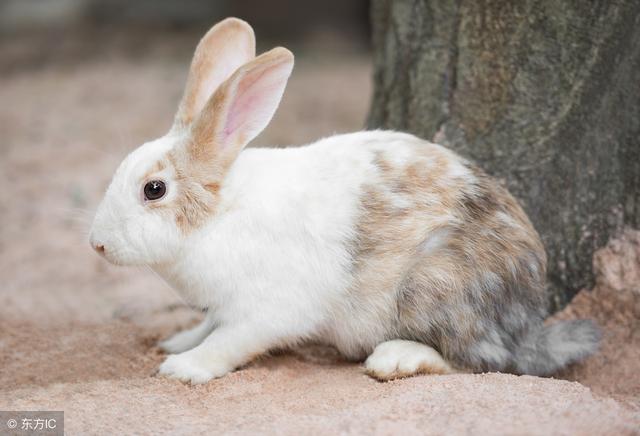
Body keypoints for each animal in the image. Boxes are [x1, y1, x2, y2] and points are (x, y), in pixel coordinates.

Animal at [90, 17, 600, 384]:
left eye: (154, 189)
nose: (96, 243)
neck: (217, 216)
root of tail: (529, 316)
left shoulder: (264, 312)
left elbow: (228, 343)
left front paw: (182, 368)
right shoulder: (221, 307)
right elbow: (207, 328)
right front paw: (176, 343)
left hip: (435, 288)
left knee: (487, 360)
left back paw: (396, 359)